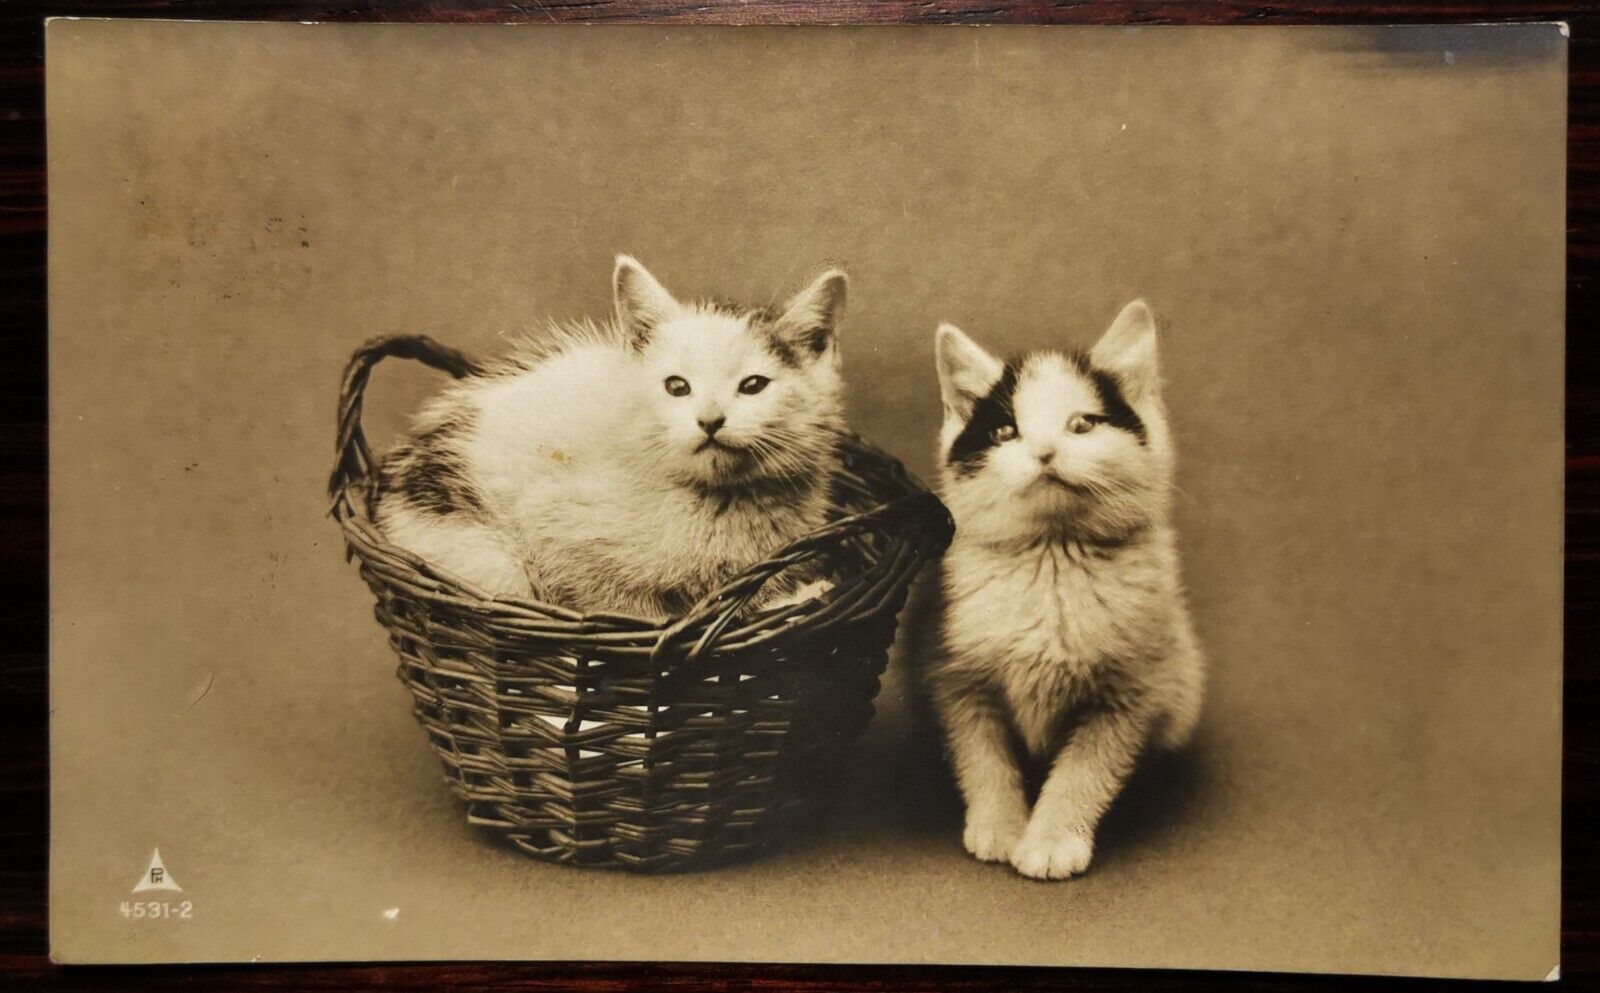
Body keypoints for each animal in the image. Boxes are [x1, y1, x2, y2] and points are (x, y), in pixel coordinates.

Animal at [374, 255, 851, 617]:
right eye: (676, 386)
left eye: (753, 385)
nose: (710, 419)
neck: (717, 501)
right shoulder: (559, 531)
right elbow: (624, 608)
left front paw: (805, 594)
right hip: (484, 557)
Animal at [928, 297, 1203, 876]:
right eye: (1005, 433)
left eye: (1082, 424)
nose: (1045, 451)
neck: (1051, 558)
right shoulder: (956, 677)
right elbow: (983, 759)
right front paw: (999, 826)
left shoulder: (1131, 691)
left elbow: (1085, 770)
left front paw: (1052, 838)